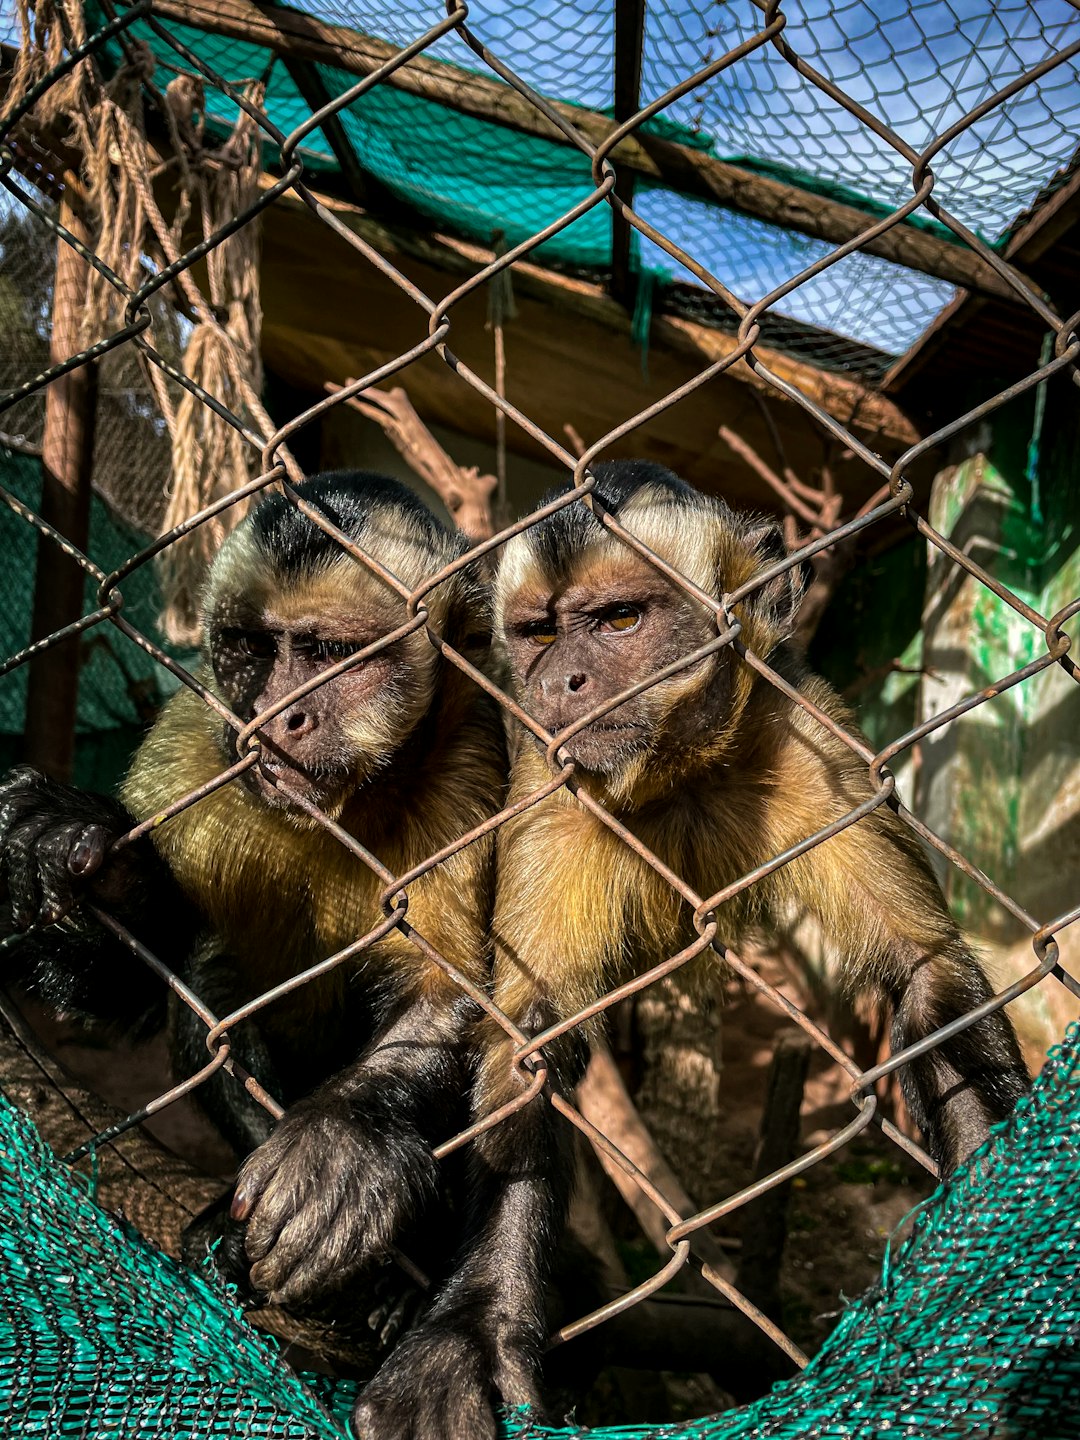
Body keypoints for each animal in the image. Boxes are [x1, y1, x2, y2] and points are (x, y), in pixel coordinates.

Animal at [0, 475, 506, 1336]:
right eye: (250, 650)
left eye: (328, 655)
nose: (279, 714)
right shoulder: (193, 742)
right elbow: (143, 988)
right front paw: (73, 846)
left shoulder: (473, 755)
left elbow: (462, 994)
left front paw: (343, 1140)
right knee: (216, 981)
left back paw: (399, 1283)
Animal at [357, 460, 1031, 1440]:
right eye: (536, 633)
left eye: (619, 621)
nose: (562, 681)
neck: (678, 769)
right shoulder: (555, 784)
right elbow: (528, 1038)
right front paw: (473, 1331)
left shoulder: (811, 739)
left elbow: (926, 972)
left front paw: (986, 1270)